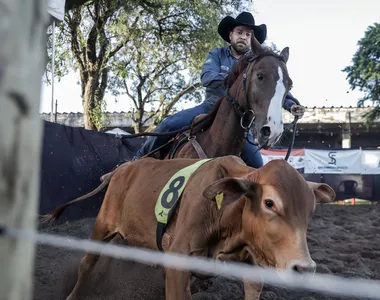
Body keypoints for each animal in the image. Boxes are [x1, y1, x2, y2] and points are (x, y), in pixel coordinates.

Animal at [63, 157, 336, 300]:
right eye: (269, 203)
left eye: (311, 210)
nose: (304, 268)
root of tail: (123, 167)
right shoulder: (177, 260)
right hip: (103, 223)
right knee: (87, 263)